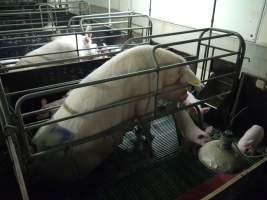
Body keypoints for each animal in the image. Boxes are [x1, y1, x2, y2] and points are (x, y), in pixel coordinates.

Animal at [31, 44, 201, 182]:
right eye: (183, 82)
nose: (185, 96)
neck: (160, 73)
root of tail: (38, 150)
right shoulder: (144, 102)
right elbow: (145, 124)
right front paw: (149, 142)